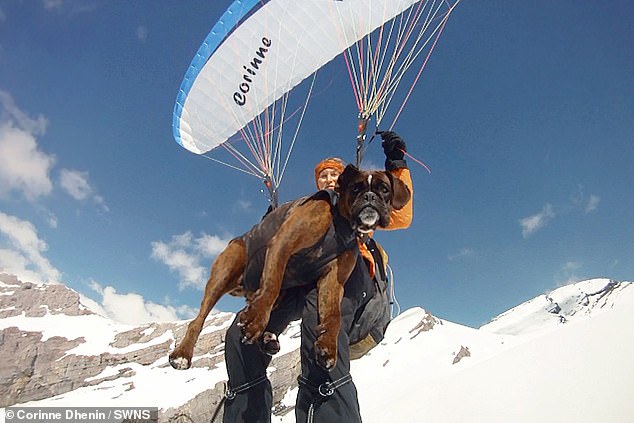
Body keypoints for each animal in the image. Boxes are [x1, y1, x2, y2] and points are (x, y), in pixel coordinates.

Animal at [168, 166, 410, 372]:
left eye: (384, 189)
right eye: (356, 188)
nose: (370, 197)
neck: (340, 223)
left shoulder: (333, 281)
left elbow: (333, 315)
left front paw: (328, 345)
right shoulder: (283, 244)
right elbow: (271, 284)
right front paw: (255, 321)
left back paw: (268, 338)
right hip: (224, 272)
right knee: (198, 320)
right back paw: (183, 354)